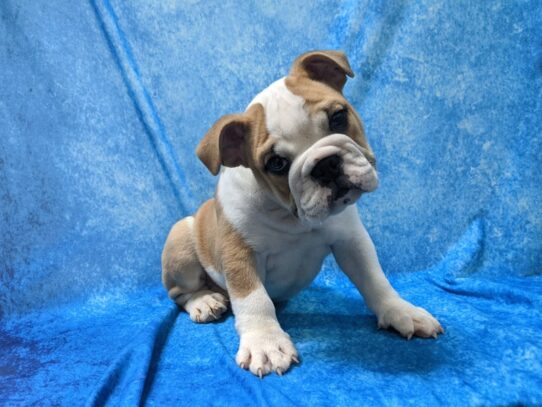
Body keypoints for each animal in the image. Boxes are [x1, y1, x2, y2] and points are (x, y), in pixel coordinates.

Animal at [162, 50, 442, 380]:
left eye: (338, 117)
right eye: (276, 163)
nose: (325, 164)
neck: (291, 215)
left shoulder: (352, 241)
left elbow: (374, 279)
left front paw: (399, 310)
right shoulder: (238, 254)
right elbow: (253, 299)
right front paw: (265, 343)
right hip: (181, 238)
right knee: (179, 292)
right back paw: (204, 301)